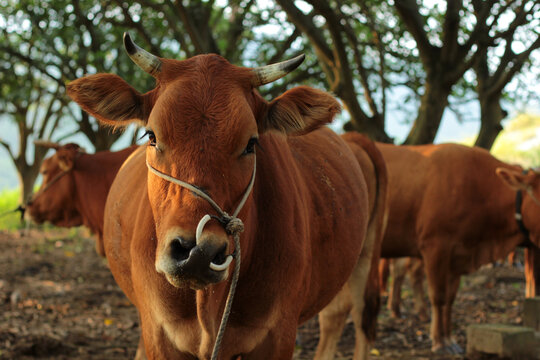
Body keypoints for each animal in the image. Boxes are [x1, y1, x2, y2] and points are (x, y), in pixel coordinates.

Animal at [376, 141, 540, 354]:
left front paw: (449, 338)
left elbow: (450, 299)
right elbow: (438, 296)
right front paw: (439, 341)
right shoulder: (435, 247)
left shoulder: (459, 254)